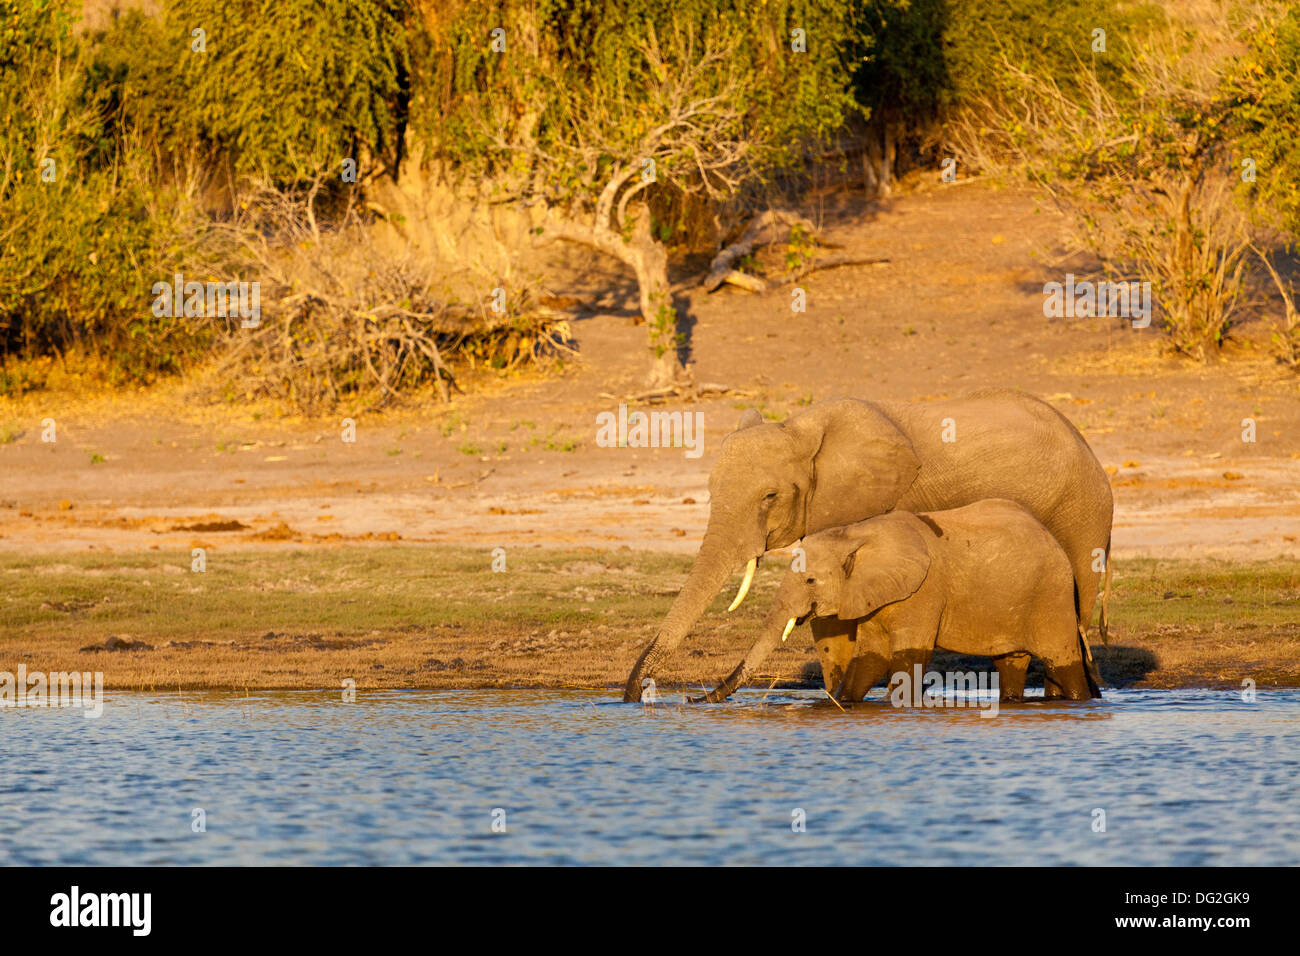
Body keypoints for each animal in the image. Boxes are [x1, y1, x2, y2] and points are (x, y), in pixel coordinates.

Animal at [696, 502, 1102, 702]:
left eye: (810, 580)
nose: (696, 701)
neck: (856, 534)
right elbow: (870, 658)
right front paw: (844, 703)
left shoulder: (923, 590)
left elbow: (909, 656)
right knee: (1011, 664)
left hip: (1051, 595)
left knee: (1063, 662)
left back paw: (1080, 703)